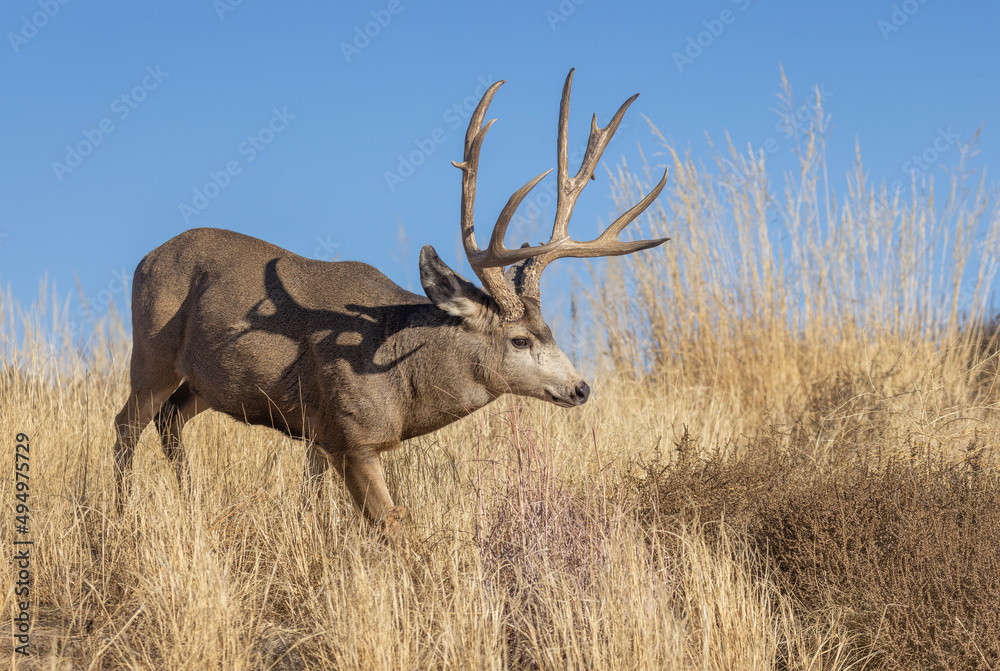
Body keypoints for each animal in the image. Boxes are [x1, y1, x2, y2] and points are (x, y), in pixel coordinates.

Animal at [111, 69, 669, 544]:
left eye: (551, 329)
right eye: (519, 339)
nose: (580, 388)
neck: (403, 381)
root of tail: (145, 257)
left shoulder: (321, 437)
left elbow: (315, 507)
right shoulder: (351, 436)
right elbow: (391, 527)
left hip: (208, 382)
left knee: (171, 420)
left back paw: (187, 504)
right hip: (152, 353)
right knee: (126, 424)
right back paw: (116, 516)